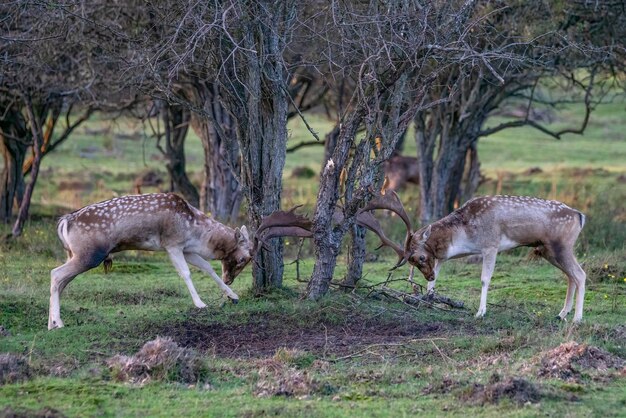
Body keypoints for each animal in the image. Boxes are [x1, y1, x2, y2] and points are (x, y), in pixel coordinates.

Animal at [48, 193, 252, 330]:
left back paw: (52, 324)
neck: (197, 234)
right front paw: (200, 303)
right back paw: (58, 322)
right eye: (243, 258)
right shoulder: (172, 243)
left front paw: (233, 296)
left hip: (74, 254)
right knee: (56, 273)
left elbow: (207, 267)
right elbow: (186, 273)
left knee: (61, 281)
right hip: (89, 255)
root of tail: (64, 221)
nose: (229, 280)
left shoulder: (186, 248)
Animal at [358, 193, 588, 324]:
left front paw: (480, 313)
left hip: (562, 246)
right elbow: (438, 275)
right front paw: (428, 298)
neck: (465, 234)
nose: (428, 276)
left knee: (580, 274)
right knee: (570, 277)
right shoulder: (448, 256)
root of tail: (580, 216)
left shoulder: (491, 245)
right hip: (549, 251)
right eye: (412, 262)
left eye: (421, 257)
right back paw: (561, 314)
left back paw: (577, 319)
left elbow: (485, 279)